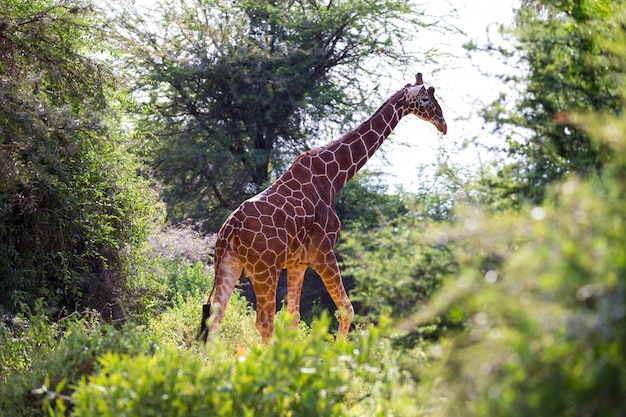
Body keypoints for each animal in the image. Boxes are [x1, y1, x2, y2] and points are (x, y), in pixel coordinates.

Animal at [200, 72, 444, 344]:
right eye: (426, 98)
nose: (442, 123)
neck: (334, 177)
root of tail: (229, 230)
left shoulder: (298, 263)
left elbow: (293, 318)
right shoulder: (323, 253)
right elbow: (347, 309)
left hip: (229, 263)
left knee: (215, 316)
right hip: (265, 269)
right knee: (263, 322)